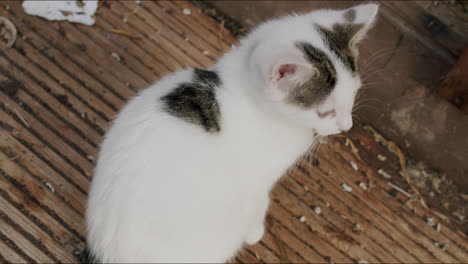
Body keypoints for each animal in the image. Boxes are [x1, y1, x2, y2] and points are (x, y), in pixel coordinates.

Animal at [85, 3, 376, 262]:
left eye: (353, 94)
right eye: (325, 112)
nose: (346, 126)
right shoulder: (256, 179)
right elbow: (259, 202)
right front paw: (255, 231)